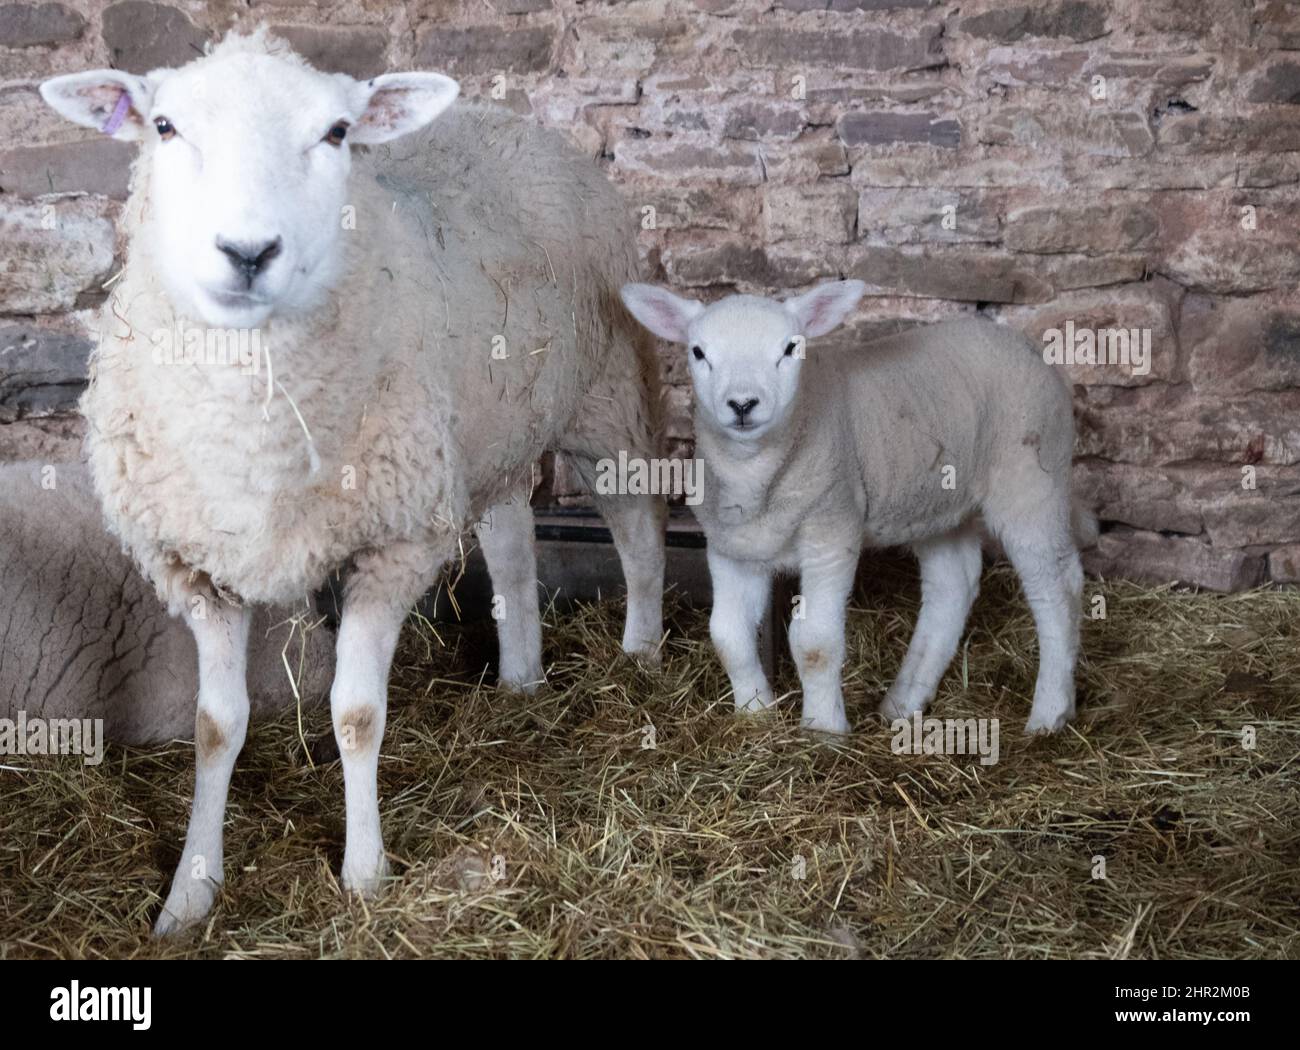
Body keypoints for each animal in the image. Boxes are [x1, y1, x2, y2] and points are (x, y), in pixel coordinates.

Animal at [40, 30, 665, 935]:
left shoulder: (391, 545)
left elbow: (357, 714)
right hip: (486, 435)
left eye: (337, 132)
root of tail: (507, 118)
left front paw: (365, 876)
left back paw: (643, 654)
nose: (248, 252)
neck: (255, 422)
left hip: (606, 391)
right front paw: (190, 892)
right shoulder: (197, 566)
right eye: (163, 125)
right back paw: (520, 681)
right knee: (514, 549)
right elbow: (214, 726)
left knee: (641, 532)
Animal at [624, 279, 1092, 738]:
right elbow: (728, 636)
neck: (755, 470)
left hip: (1032, 479)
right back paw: (902, 703)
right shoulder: (731, 547)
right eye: (698, 352)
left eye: (791, 348)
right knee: (953, 585)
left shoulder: (831, 531)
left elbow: (814, 641)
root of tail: (1023, 344)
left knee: (1058, 589)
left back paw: (1049, 715)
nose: (742, 404)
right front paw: (755, 716)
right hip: (937, 500)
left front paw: (822, 729)